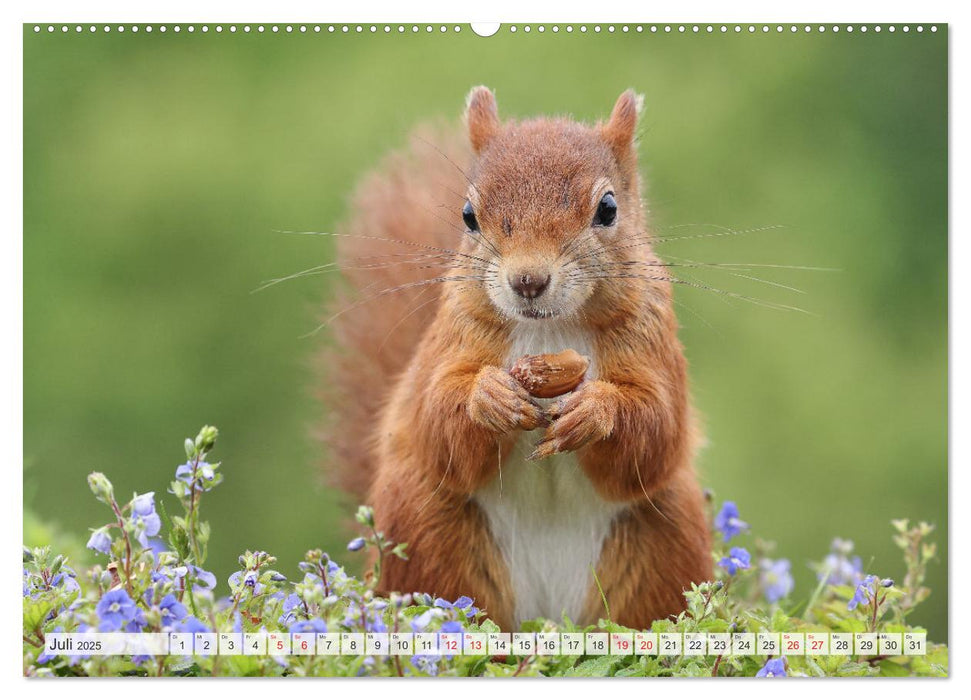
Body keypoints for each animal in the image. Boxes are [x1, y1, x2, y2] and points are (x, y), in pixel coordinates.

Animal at [322, 87, 712, 628]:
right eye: (468, 214)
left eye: (608, 208)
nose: (528, 280)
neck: (548, 329)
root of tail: (548, 617)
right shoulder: (452, 337)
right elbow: (435, 414)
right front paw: (489, 399)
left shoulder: (652, 336)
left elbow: (659, 427)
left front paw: (595, 410)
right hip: (428, 532)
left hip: (664, 538)